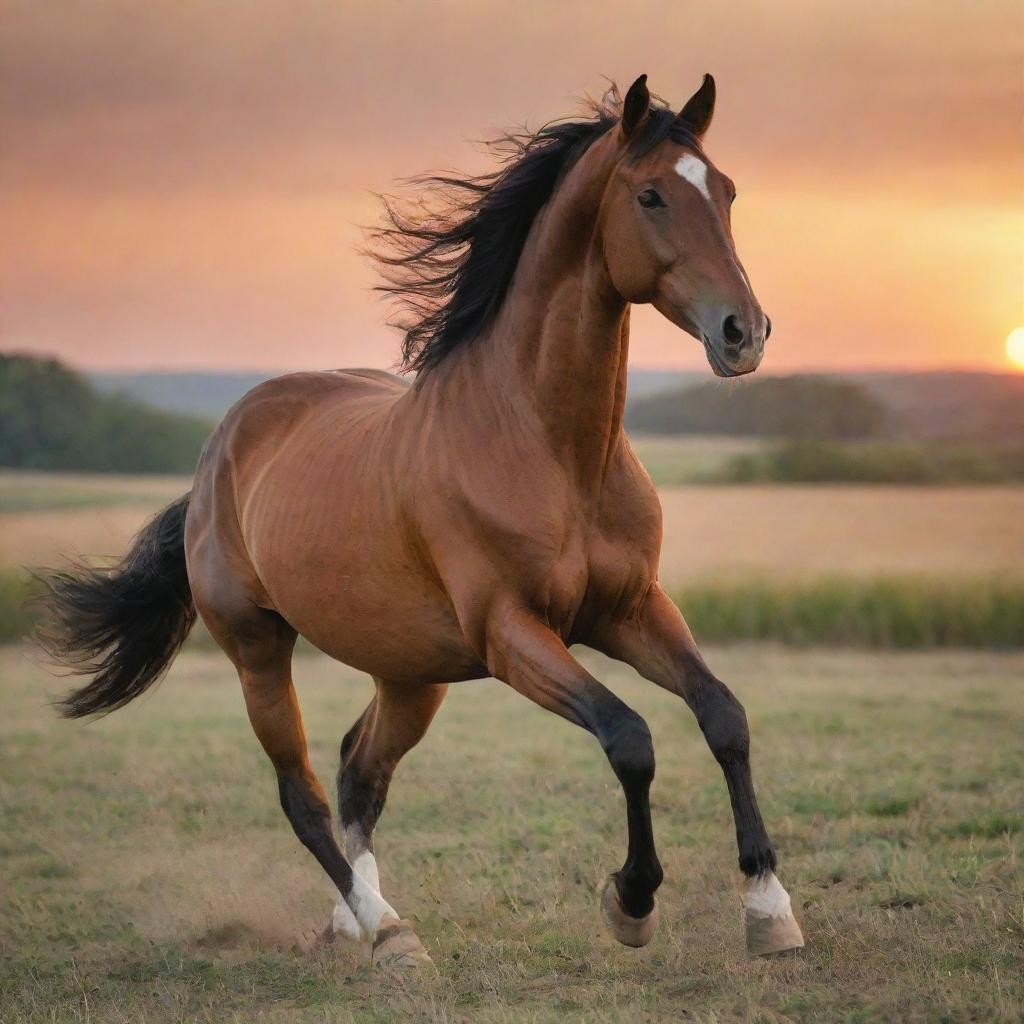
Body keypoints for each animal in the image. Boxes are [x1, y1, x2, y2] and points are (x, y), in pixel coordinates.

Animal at [39, 75, 802, 962]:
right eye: (649, 195)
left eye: (727, 192)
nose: (744, 333)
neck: (549, 447)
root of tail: (218, 452)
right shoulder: (513, 635)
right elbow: (630, 738)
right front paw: (632, 901)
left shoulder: (632, 609)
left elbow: (723, 717)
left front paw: (770, 910)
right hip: (259, 651)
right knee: (302, 792)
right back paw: (389, 932)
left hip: (411, 672)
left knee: (358, 771)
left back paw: (359, 920)